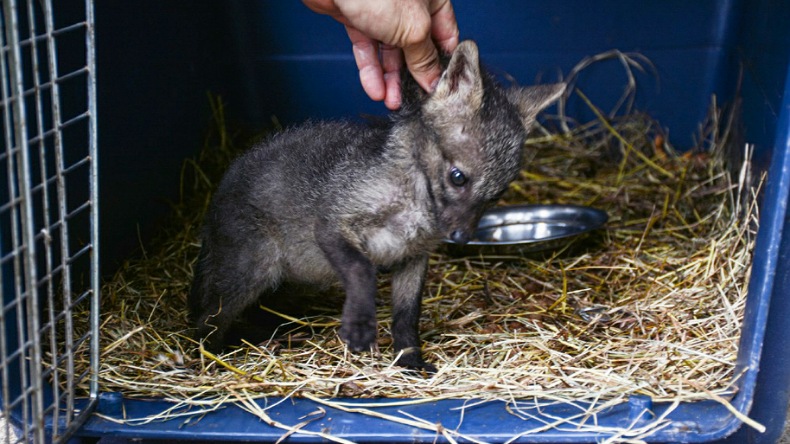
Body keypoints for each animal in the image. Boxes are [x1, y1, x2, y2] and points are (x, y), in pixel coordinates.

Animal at [188, 40, 564, 371]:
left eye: (496, 195)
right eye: (458, 177)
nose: (460, 236)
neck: (412, 207)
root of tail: (218, 191)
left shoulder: (414, 257)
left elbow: (407, 318)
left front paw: (409, 359)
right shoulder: (333, 224)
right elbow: (362, 271)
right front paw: (359, 326)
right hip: (253, 272)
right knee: (206, 321)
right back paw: (213, 358)